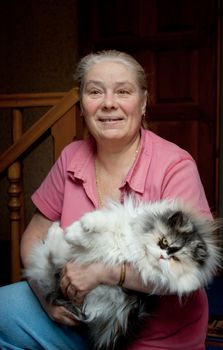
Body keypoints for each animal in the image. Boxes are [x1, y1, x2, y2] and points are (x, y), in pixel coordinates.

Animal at [23, 197, 222, 350]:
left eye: (175, 259)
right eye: (164, 241)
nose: (162, 256)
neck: (136, 243)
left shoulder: (109, 251)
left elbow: (94, 240)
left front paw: (73, 234)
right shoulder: (123, 219)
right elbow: (104, 221)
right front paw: (82, 225)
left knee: (51, 257)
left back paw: (58, 234)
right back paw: (57, 230)